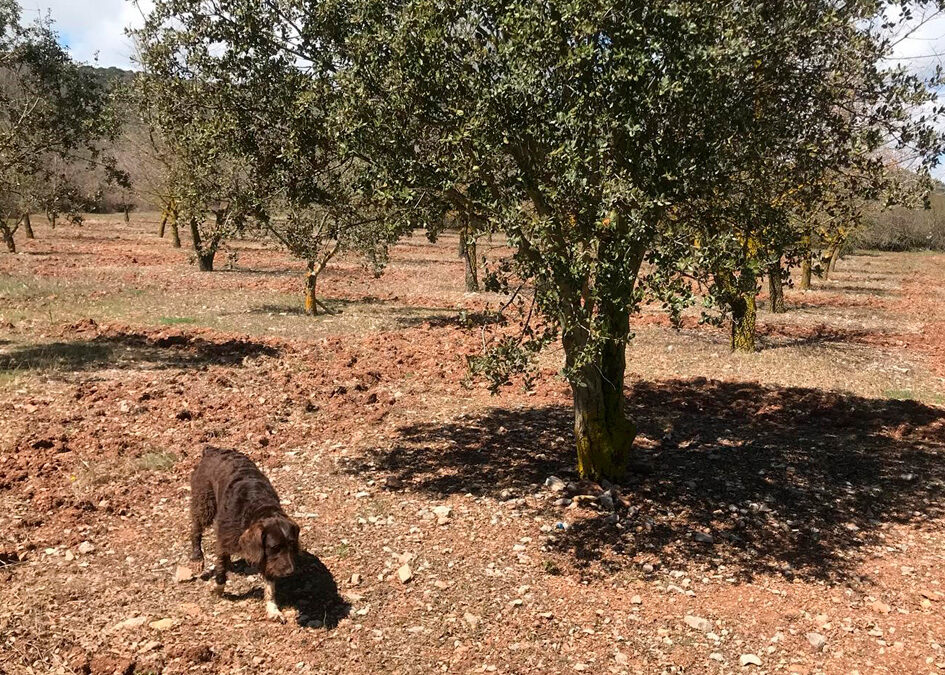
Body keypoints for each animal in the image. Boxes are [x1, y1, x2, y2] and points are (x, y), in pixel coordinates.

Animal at [189, 448, 298, 624]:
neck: (258, 507)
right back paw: (197, 557)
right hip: (204, 501)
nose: (290, 571)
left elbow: (270, 586)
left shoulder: (265, 556)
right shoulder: (224, 540)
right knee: (195, 529)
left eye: (291, 545)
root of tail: (211, 450)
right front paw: (218, 590)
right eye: (275, 547)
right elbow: (220, 570)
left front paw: (273, 610)